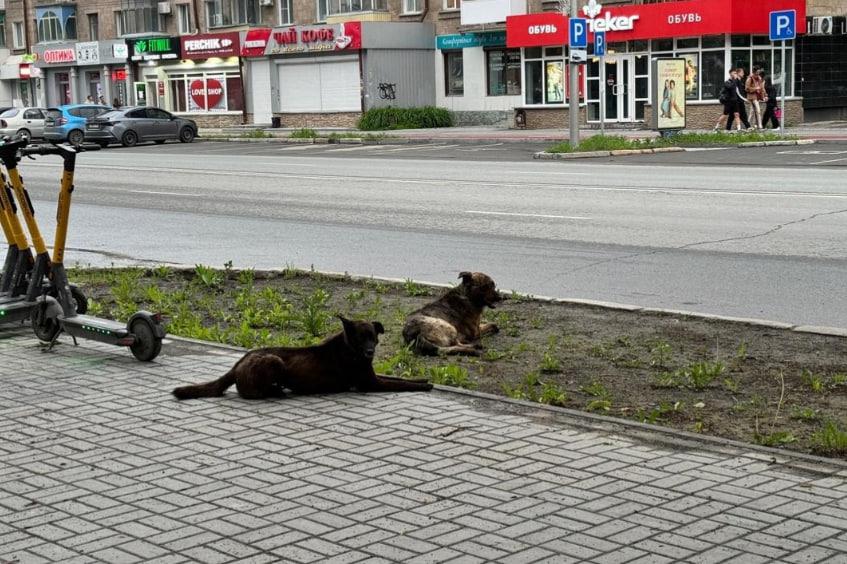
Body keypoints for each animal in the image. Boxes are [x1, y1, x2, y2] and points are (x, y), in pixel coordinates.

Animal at [175, 318, 434, 400]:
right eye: (360, 338)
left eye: (373, 337)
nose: (370, 352)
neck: (350, 349)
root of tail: (237, 363)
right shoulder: (370, 384)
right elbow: (400, 384)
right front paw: (424, 386)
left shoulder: (372, 376)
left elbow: (398, 377)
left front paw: (422, 379)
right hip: (274, 361)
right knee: (250, 392)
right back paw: (277, 391)